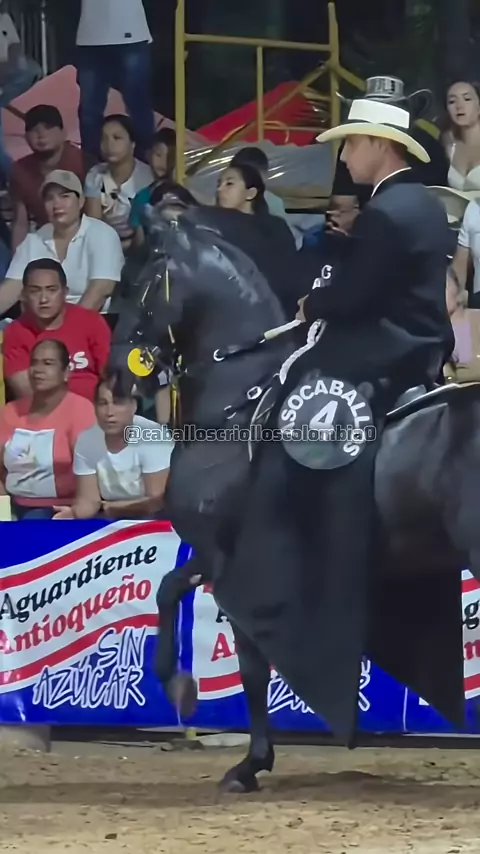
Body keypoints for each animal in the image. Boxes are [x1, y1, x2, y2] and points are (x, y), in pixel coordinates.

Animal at [115, 203, 476, 794]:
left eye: (136, 280)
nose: (116, 374)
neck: (240, 403)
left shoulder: (224, 557)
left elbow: (180, 603)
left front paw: (186, 693)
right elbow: (248, 662)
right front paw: (251, 760)